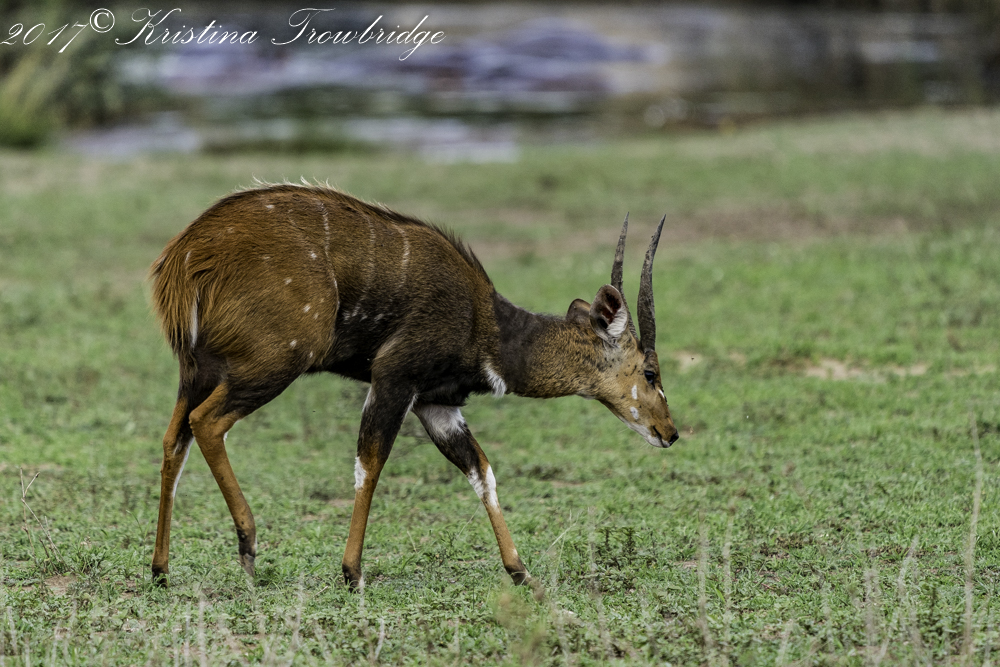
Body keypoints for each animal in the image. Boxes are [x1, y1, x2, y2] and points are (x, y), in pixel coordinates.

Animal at [149, 183, 678, 590]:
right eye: (650, 373)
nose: (670, 432)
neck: (489, 328)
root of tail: (186, 257)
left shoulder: (436, 404)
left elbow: (481, 471)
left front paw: (521, 572)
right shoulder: (395, 378)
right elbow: (370, 465)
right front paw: (352, 574)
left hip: (197, 371)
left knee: (175, 438)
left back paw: (160, 569)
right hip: (272, 364)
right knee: (207, 422)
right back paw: (248, 545)